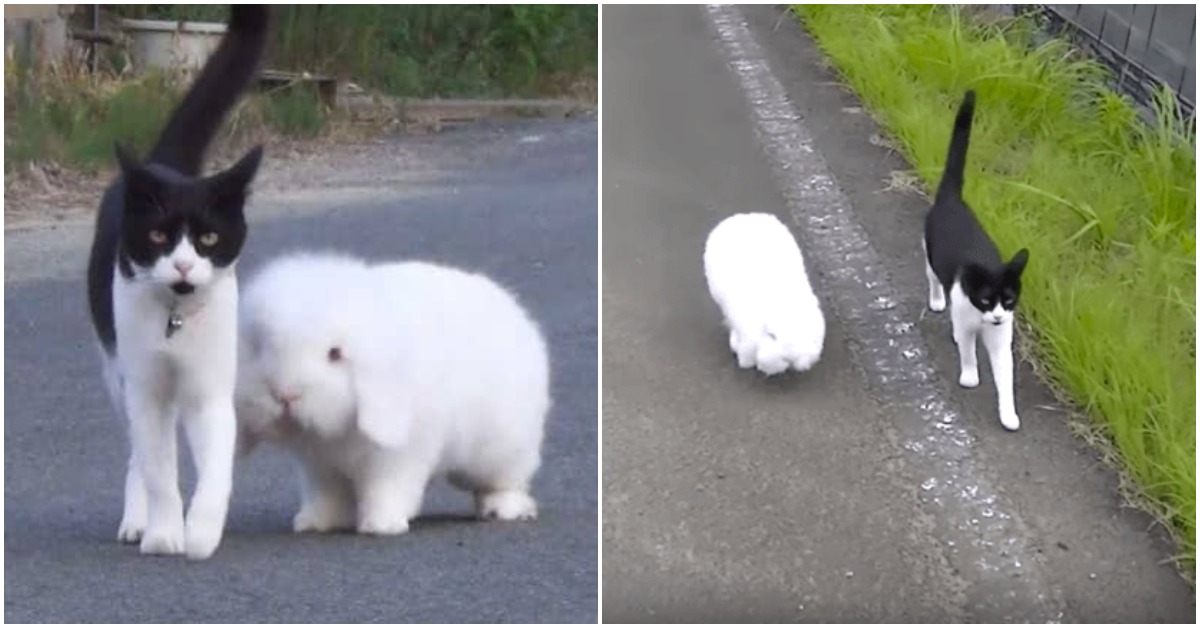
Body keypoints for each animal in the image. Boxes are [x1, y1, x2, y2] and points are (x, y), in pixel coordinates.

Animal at [85, 3, 271, 554]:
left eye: (208, 238)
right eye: (159, 235)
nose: (185, 265)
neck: (176, 320)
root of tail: (163, 166)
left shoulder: (210, 391)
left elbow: (215, 470)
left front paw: (202, 533)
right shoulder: (144, 387)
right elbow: (159, 473)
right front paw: (165, 534)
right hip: (117, 370)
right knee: (139, 454)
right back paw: (137, 521)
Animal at [232, 252, 549, 535]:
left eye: (334, 354)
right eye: (260, 348)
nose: (285, 395)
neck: (336, 433)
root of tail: (512, 309)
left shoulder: (396, 460)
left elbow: (386, 491)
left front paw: (381, 526)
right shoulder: (320, 467)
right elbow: (328, 496)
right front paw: (315, 523)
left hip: (499, 451)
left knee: (506, 481)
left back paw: (501, 509)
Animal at [921, 89, 1027, 432]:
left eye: (1009, 299)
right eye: (985, 299)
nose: (997, 317)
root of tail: (953, 199)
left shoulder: (1002, 337)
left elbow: (1005, 377)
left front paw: (1008, 414)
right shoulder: (969, 318)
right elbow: (968, 350)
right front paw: (969, 376)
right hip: (929, 255)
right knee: (934, 280)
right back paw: (938, 302)